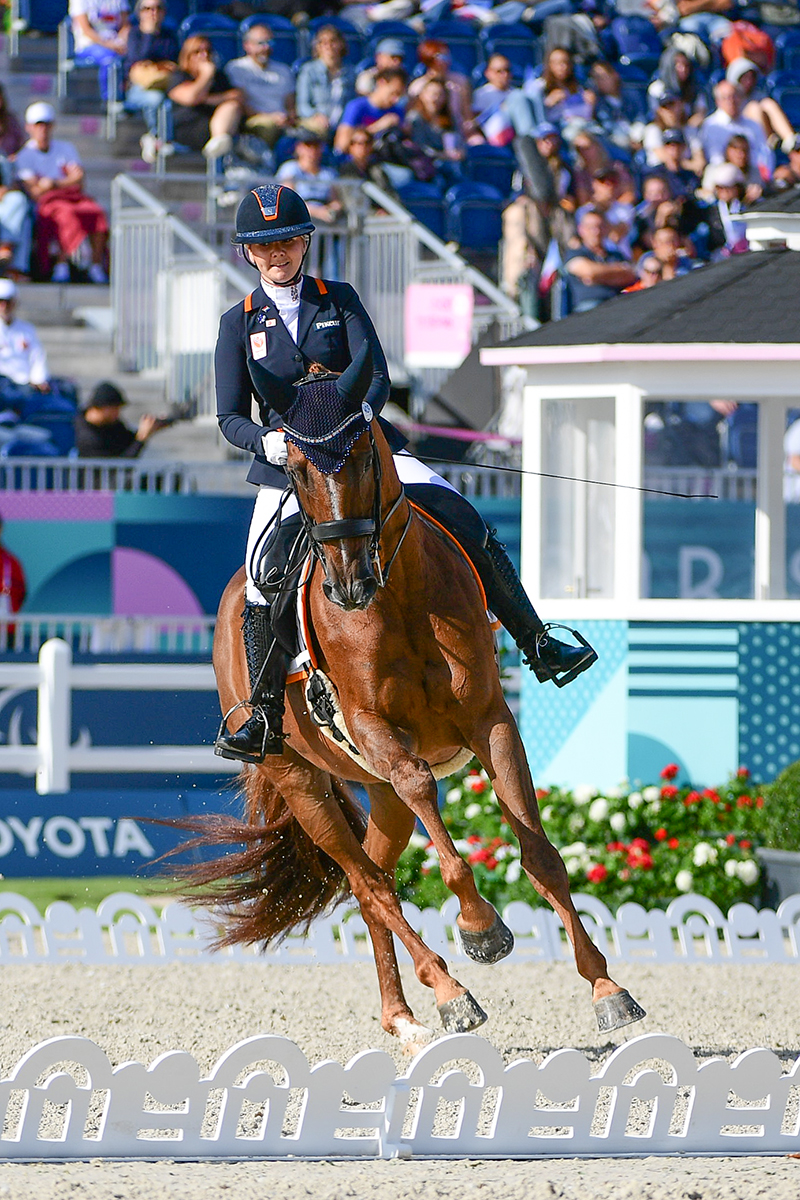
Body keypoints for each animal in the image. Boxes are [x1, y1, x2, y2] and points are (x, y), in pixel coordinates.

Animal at [189, 355, 642, 1041]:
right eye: (292, 467)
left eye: (362, 456)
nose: (348, 585)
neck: (396, 595)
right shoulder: (378, 729)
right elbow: (430, 800)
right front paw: (482, 929)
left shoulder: (490, 721)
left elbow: (540, 853)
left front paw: (606, 987)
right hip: (302, 780)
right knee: (369, 882)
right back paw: (450, 992)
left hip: (378, 794)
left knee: (374, 880)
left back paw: (402, 1015)